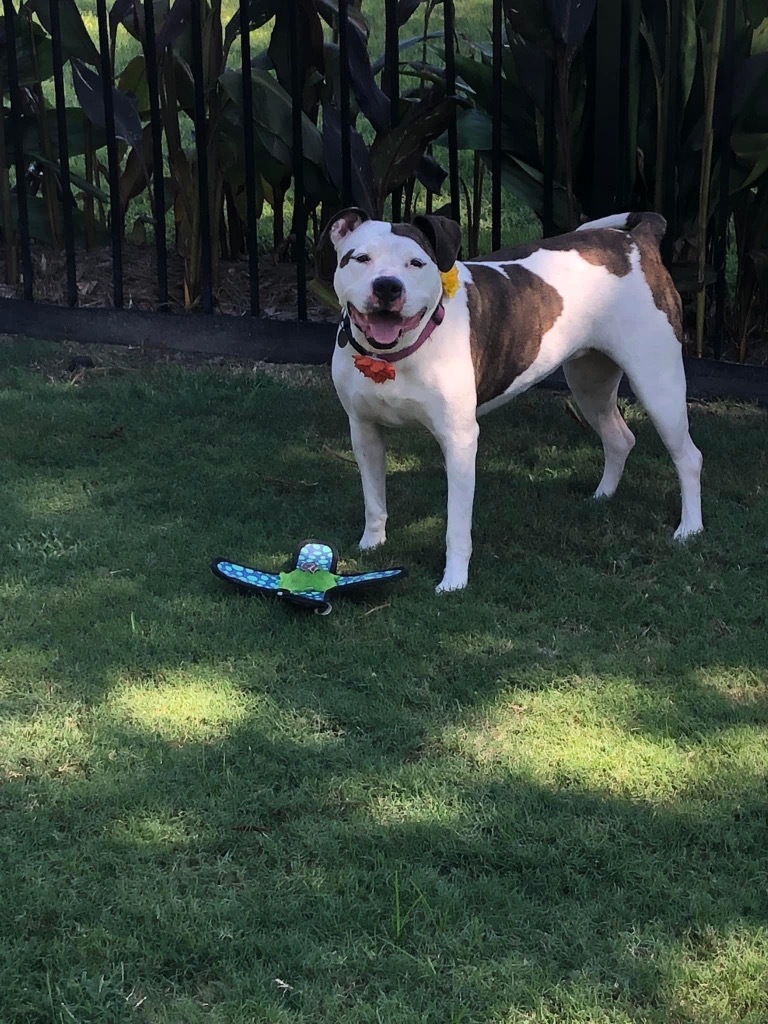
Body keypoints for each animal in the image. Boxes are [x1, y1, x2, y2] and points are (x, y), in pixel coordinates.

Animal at [319, 207, 704, 593]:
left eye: (416, 263)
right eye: (361, 259)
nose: (387, 286)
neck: (393, 356)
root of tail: (638, 240)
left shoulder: (459, 441)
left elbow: (456, 526)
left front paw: (454, 581)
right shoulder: (364, 431)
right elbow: (373, 499)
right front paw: (372, 544)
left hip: (658, 384)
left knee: (688, 457)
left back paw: (689, 528)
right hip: (589, 383)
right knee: (619, 438)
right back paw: (603, 496)